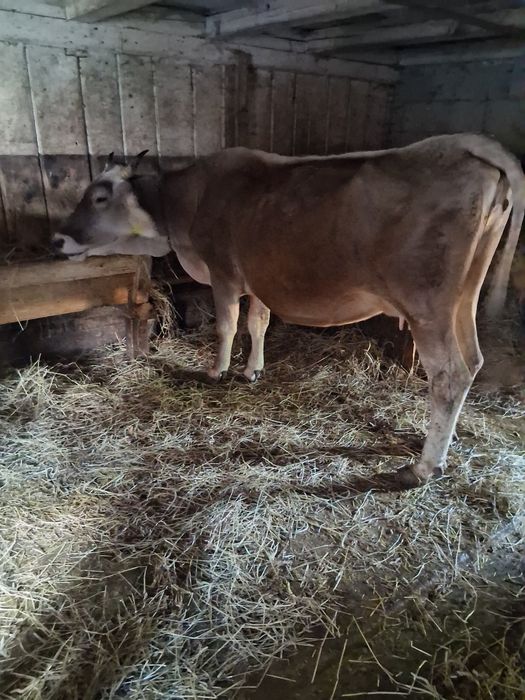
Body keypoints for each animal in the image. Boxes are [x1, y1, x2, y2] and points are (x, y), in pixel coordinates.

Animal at [52, 134, 525, 488]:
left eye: (99, 196)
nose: (57, 240)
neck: (183, 206)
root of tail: (465, 143)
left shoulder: (224, 274)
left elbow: (228, 325)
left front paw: (216, 370)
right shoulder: (260, 278)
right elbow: (257, 323)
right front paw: (252, 370)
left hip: (427, 305)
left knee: (449, 374)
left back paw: (425, 466)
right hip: (464, 297)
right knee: (473, 360)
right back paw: (449, 439)